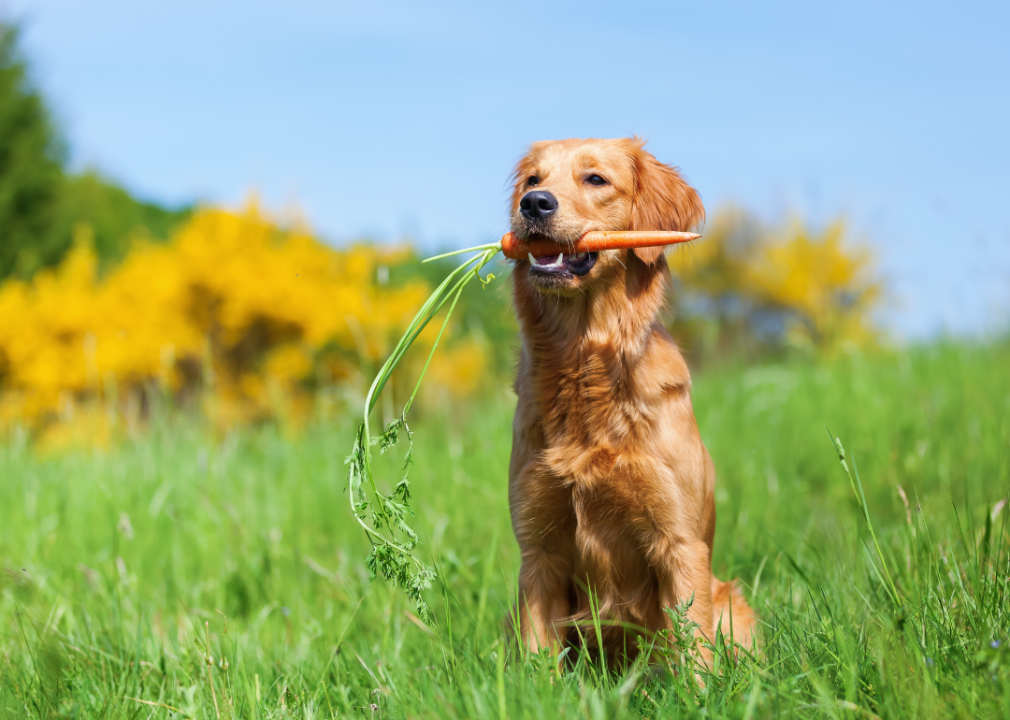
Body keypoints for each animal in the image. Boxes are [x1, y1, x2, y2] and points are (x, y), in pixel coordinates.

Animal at [509, 137, 755, 658]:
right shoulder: (539, 550)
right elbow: (537, 654)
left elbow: (695, 652)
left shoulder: (678, 542)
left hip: (731, 604)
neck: (584, 367)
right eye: (532, 180)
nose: (533, 205)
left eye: (595, 179)